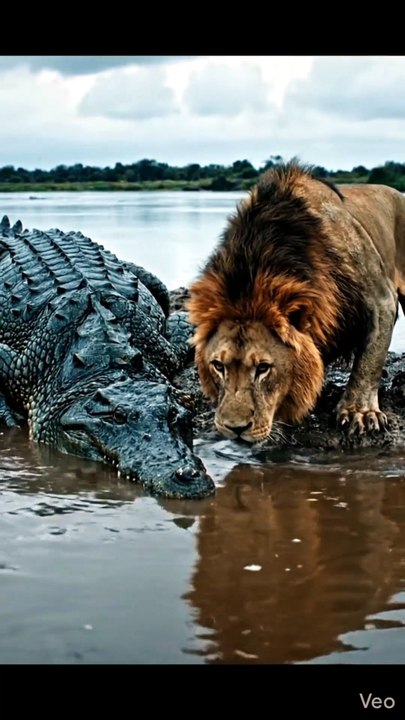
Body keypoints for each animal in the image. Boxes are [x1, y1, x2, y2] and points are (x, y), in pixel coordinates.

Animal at [187, 160, 405, 442]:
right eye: (218, 366)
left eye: (263, 368)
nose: (234, 428)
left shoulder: (380, 296)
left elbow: (369, 360)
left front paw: (360, 412)